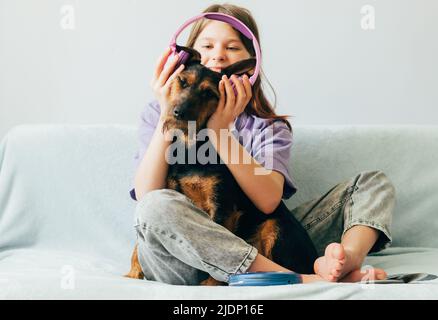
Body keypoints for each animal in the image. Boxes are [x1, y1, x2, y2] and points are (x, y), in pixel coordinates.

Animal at [125, 45, 316, 284]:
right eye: (182, 81)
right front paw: (133, 272)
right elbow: (136, 244)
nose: (179, 113)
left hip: (275, 227)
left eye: (209, 93)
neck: (191, 148)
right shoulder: (171, 190)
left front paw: (210, 284)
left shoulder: (221, 205)